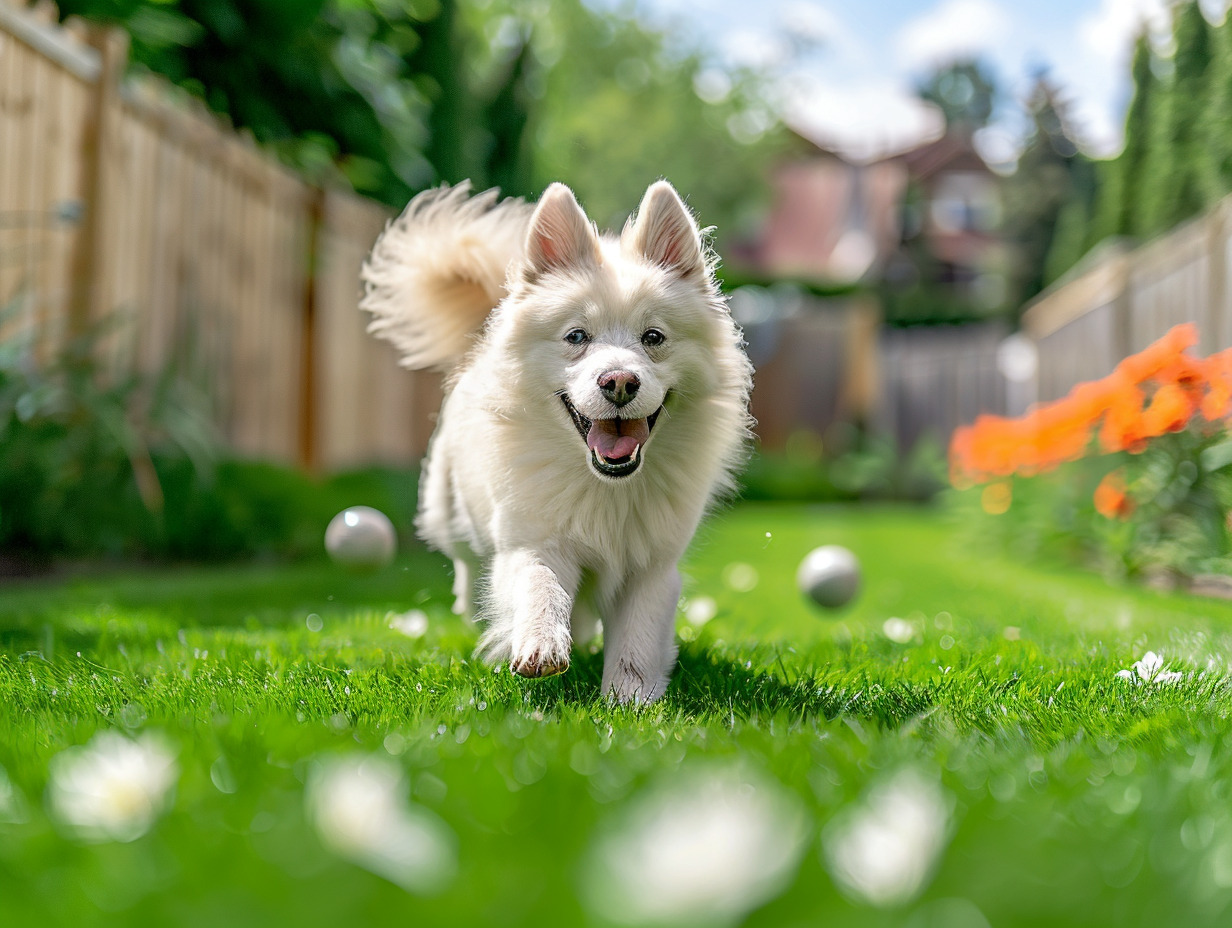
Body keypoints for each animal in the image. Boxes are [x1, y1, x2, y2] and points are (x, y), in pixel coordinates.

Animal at [359, 181, 753, 700]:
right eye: (576, 336)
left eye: (653, 337)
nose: (619, 382)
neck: (604, 486)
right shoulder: (533, 541)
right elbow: (540, 585)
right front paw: (539, 645)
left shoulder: (651, 566)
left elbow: (638, 635)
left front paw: (629, 700)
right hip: (454, 518)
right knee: (468, 571)